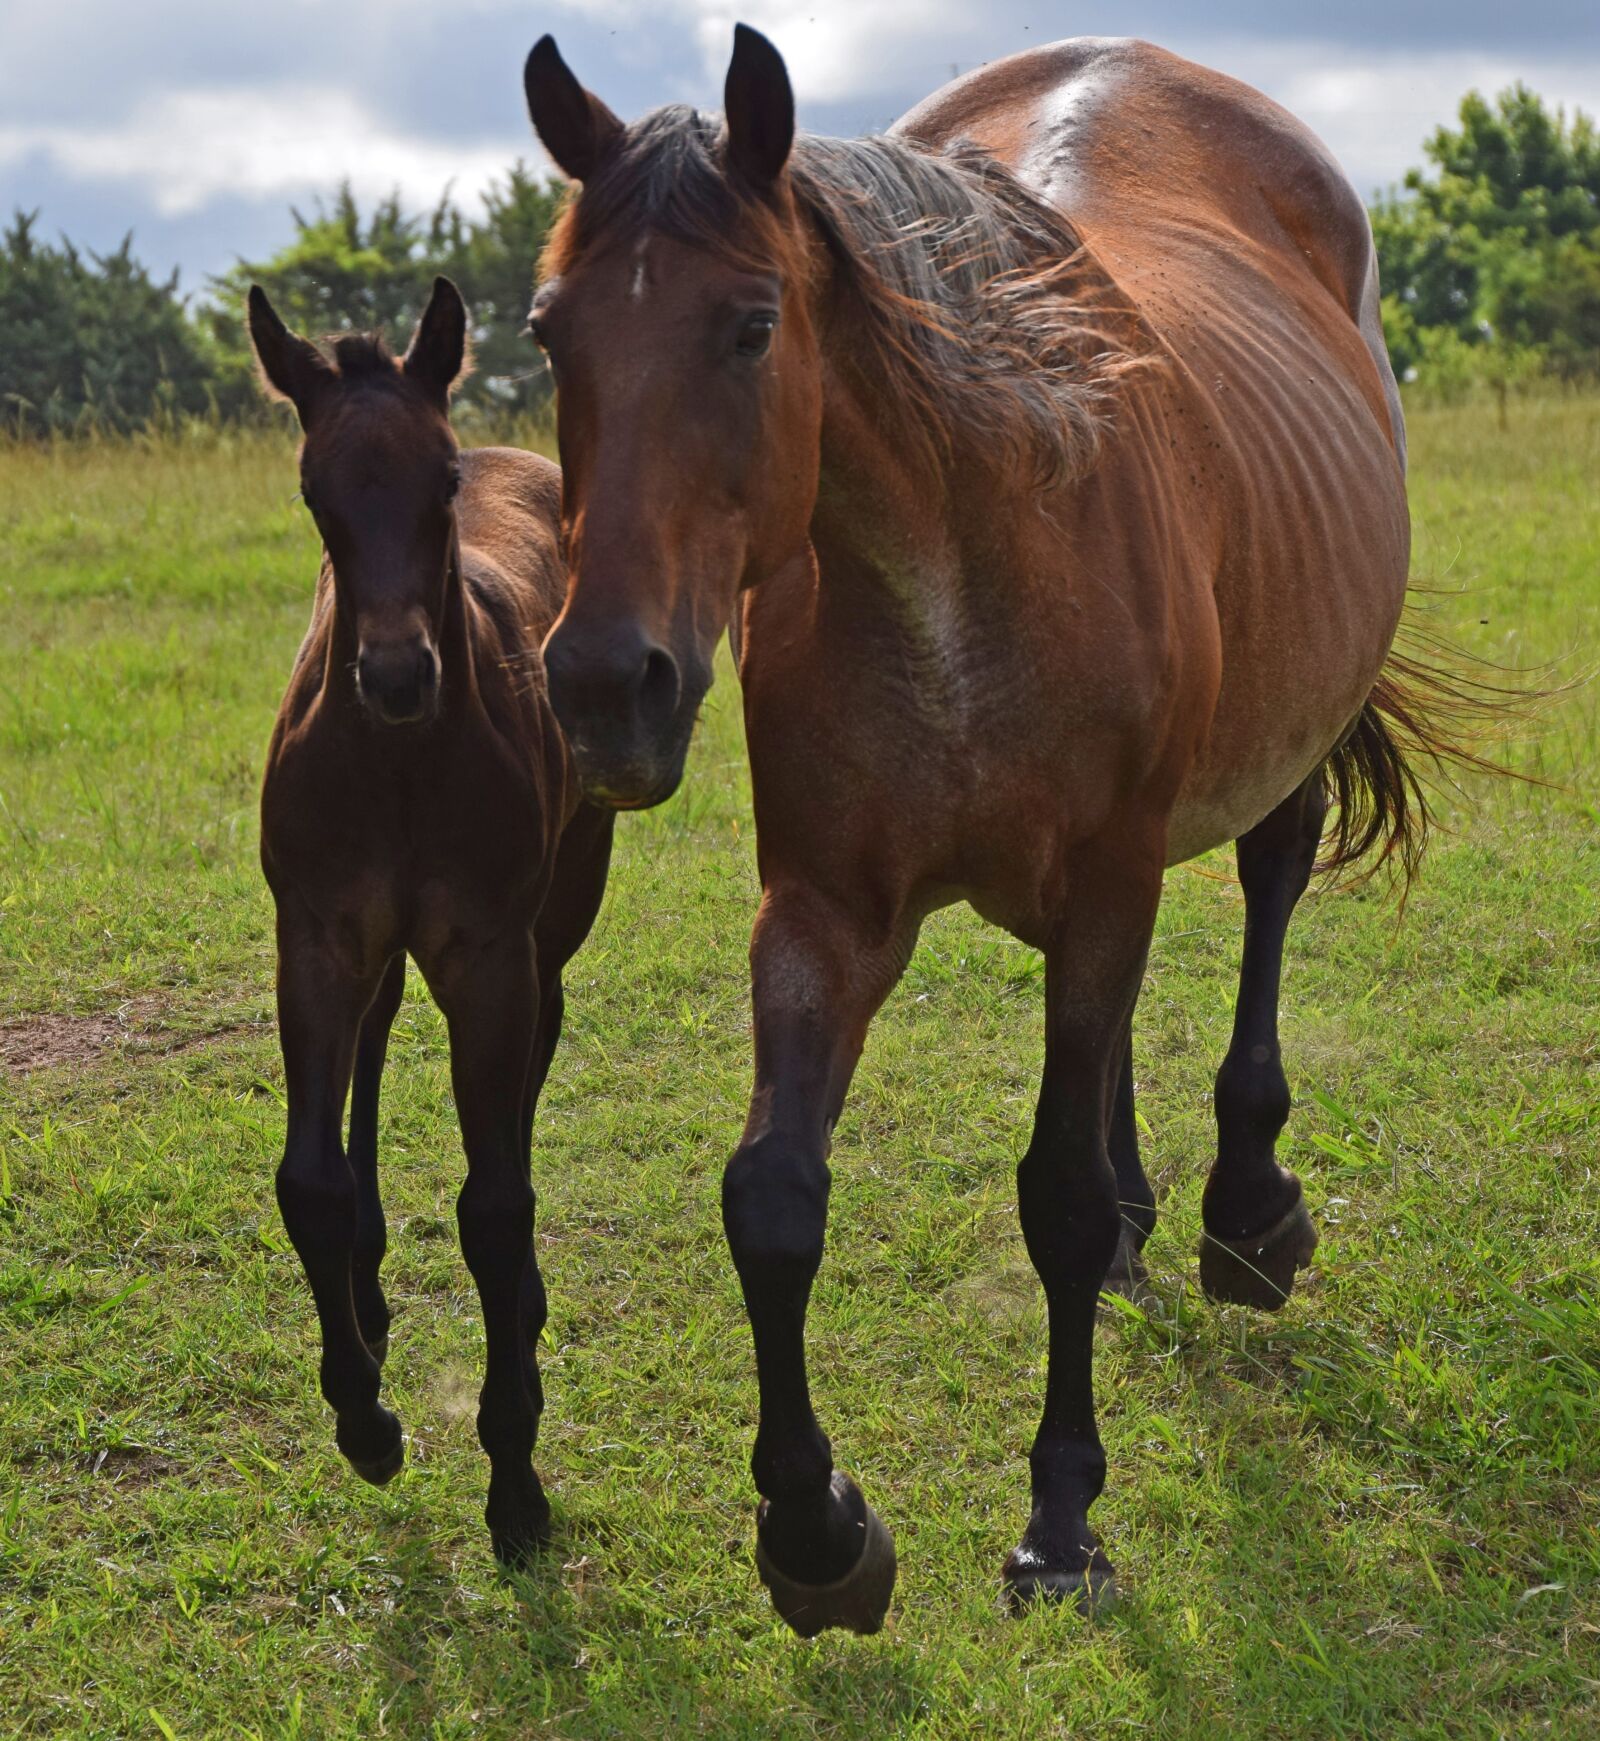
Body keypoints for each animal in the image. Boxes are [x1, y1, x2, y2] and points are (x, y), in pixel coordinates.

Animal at [250, 278, 615, 1566]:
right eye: (314, 491)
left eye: (442, 479)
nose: (398, 676)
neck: (402, 765)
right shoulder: (316, 934)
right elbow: (307, 1178)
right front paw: (363, 1418)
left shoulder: (487, 953)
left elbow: (494, 1203)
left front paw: (515, 1480)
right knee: (373, 1038)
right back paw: (364, 1288)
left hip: (557, 908)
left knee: (537, 1052)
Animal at [520, 27, 1463, 1631]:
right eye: (543, 335)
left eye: (752, 327)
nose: (602, 683)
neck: (958, 566)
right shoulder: (825, 906)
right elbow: (772, 1197)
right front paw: (816, 1530)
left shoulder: (1106, 876)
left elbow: (1056, 1197)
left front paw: (1064, 1518)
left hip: (1271, 744)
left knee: (1269, 884)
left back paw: (1245, 1212)